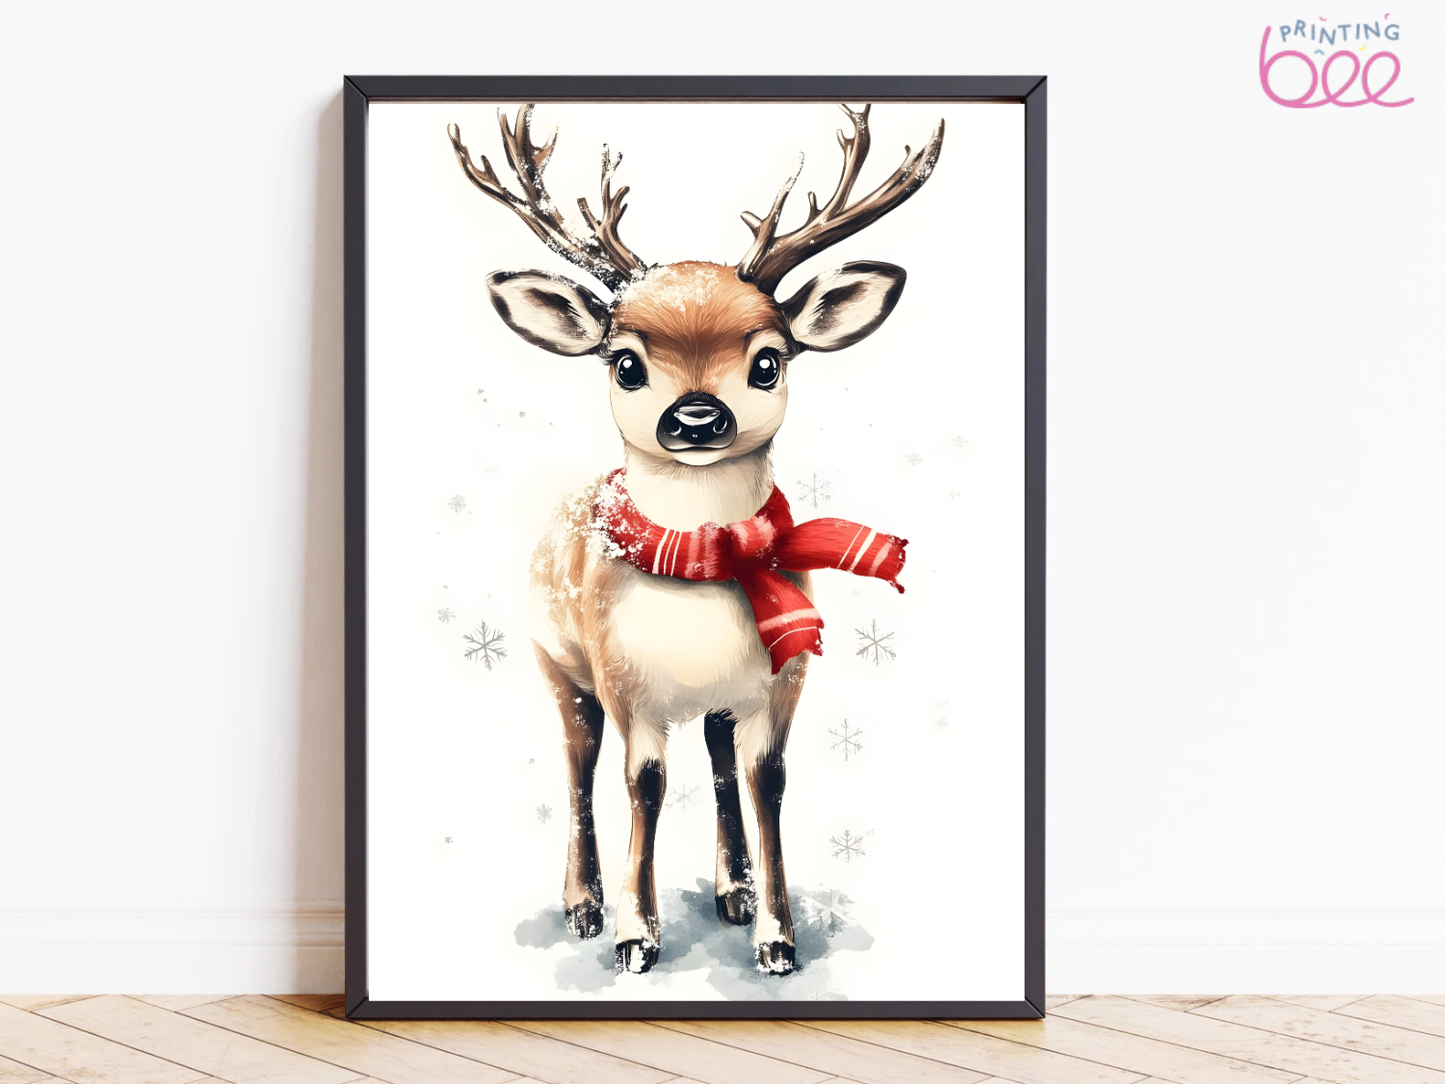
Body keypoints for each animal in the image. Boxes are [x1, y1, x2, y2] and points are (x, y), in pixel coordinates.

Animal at [447, 103, 944, 975]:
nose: (698, 417)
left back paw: (732, 891)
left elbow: (765, 780)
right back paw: (582, 903)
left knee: (715, 765)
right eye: (625, 364)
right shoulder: (623, 679)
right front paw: (636, 935)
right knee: (577, 766)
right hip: (555, 662)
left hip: (707, 702)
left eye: (769, 361)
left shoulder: (779, 682)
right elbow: (642, 782)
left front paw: (775, 937)